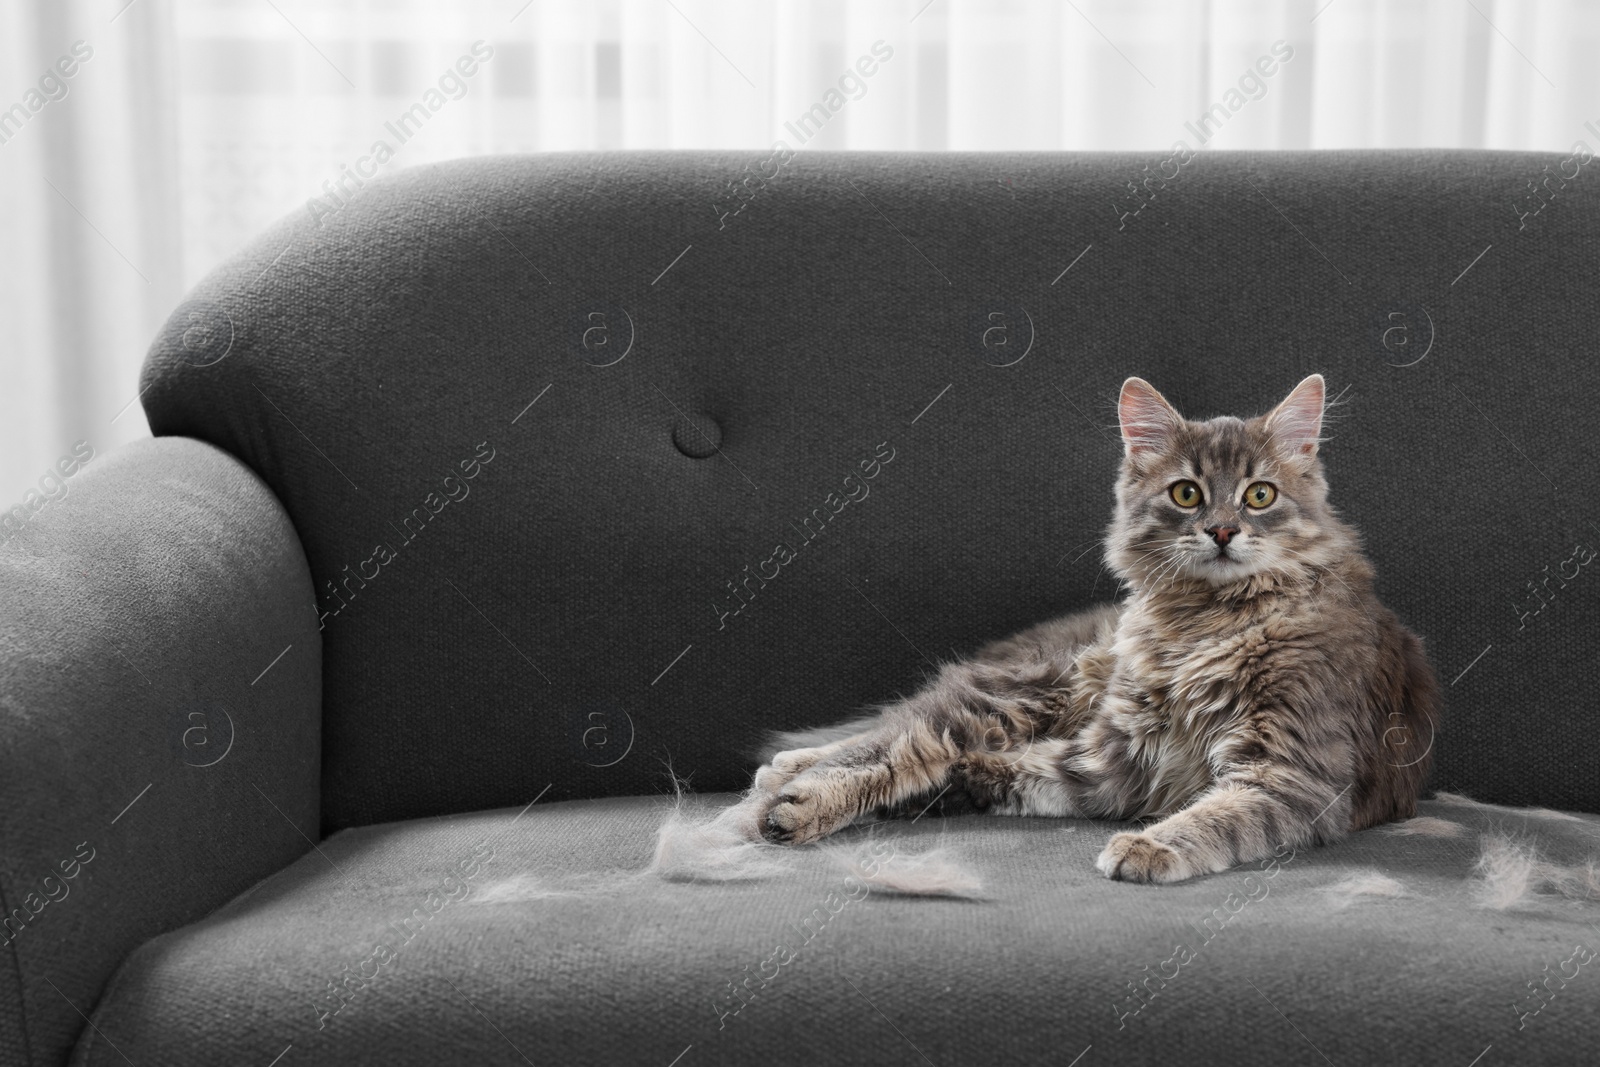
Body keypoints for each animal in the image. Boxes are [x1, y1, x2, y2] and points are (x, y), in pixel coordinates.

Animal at [755, 375, 1446, 883]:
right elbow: (922, 752)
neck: (1204, 619)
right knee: (901, 732)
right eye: (1188, 494)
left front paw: (1148, 846)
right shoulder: (1119, 750)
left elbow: (1220, 815)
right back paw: (793, 782)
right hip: (1030, 688)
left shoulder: (1285, 774)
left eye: (1260, 496)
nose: (1223, 531)